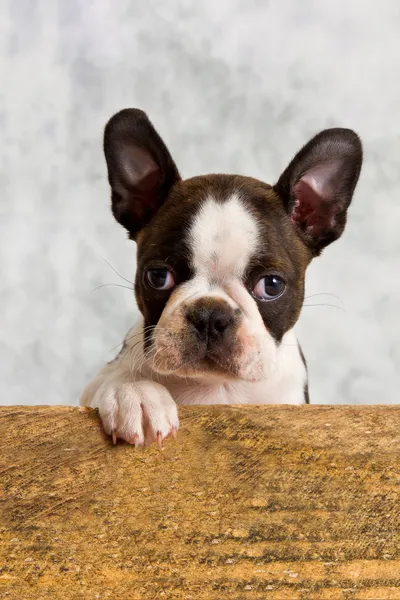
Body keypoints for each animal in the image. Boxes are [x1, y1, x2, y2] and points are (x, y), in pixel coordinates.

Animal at [79, 108, 360, 448]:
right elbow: (115, 379)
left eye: (272, 286)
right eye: (158, 276)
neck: (215, 387)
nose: (210, 315)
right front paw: (136, 393)